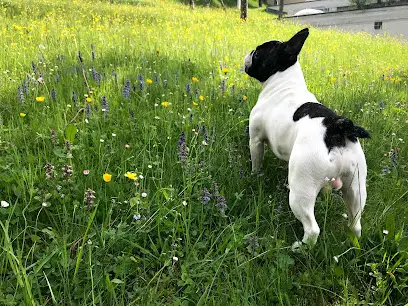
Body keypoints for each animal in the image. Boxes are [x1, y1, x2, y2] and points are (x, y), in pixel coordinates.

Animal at [245, 27, 370, 250]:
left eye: (258, 53)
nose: (249, 52)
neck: (284, 81)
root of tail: (335, 128)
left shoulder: (256, 140)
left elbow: (256, 161)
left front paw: (254, 177)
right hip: (355, 187)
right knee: (356, 221)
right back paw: (352, 241)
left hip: (301, 190)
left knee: (312, 228)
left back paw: (300, 247)